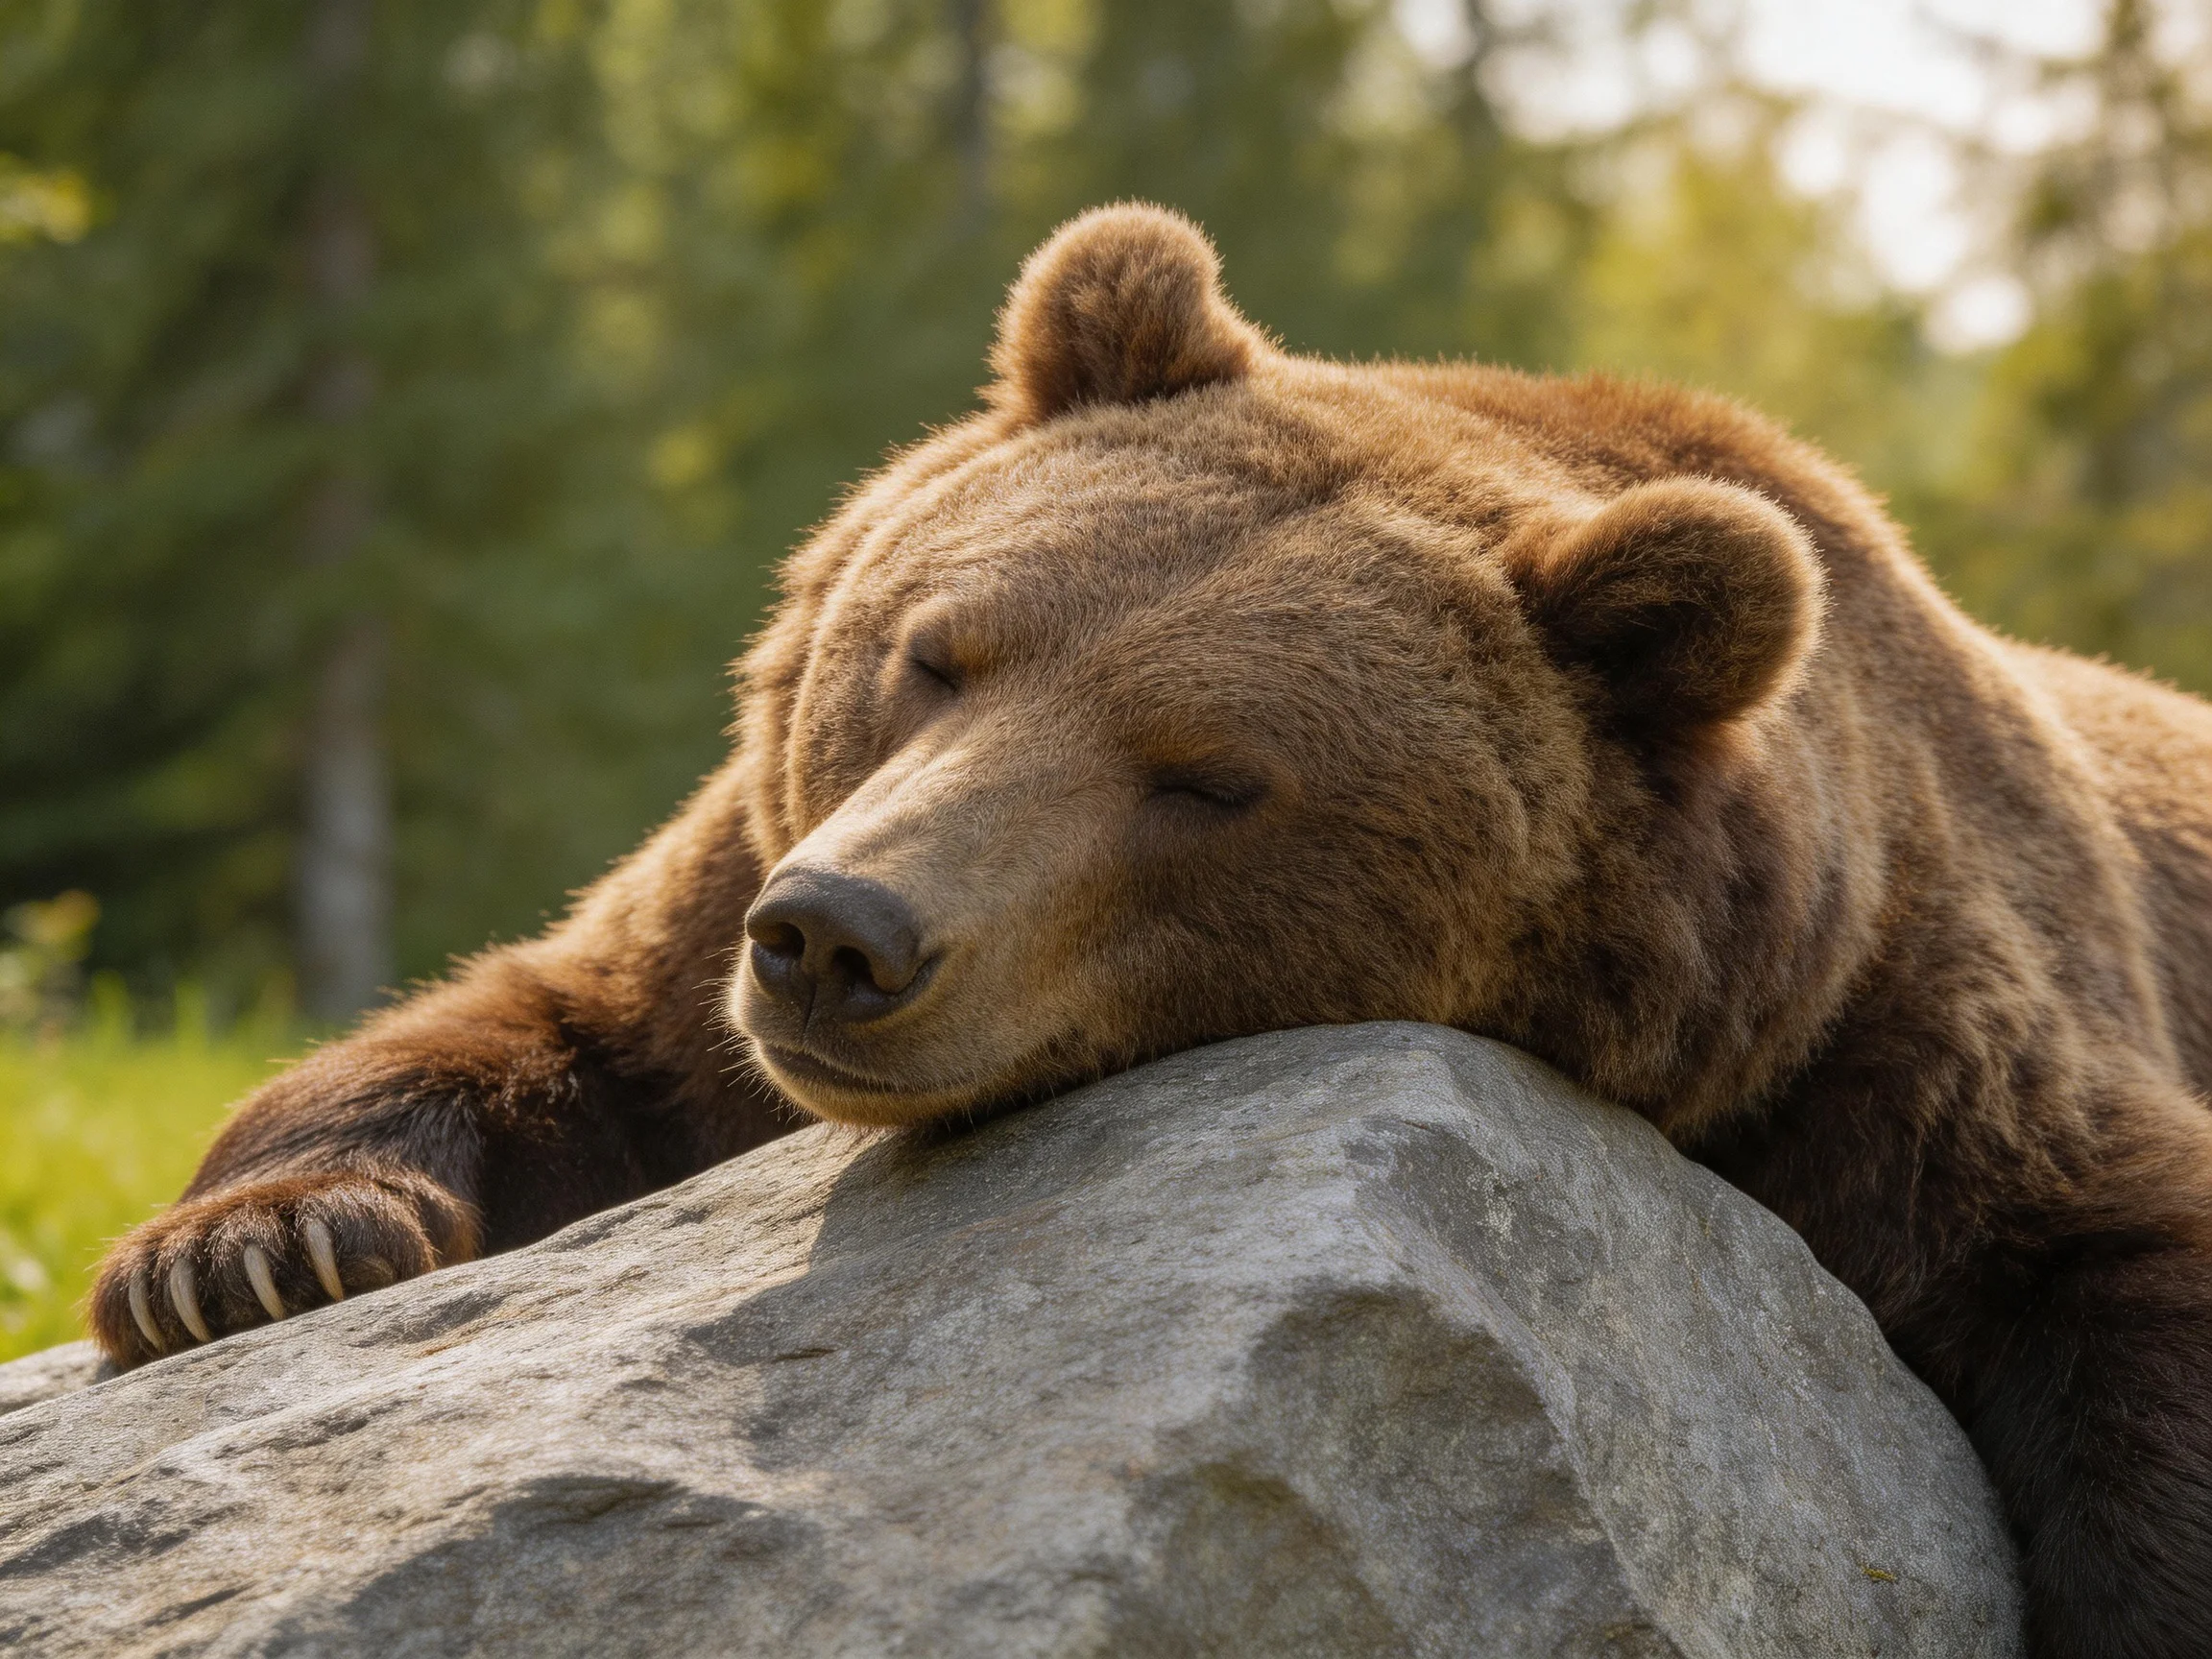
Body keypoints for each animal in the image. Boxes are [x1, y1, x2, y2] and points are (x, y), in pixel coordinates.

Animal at [90, 205, 2212, 1659]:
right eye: (937, 650)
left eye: (1203, 777)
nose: (840, 936)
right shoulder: (700, 944)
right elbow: (532, 1025)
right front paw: (255, 1252)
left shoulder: (1905, 1047)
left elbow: (2119, 1267)